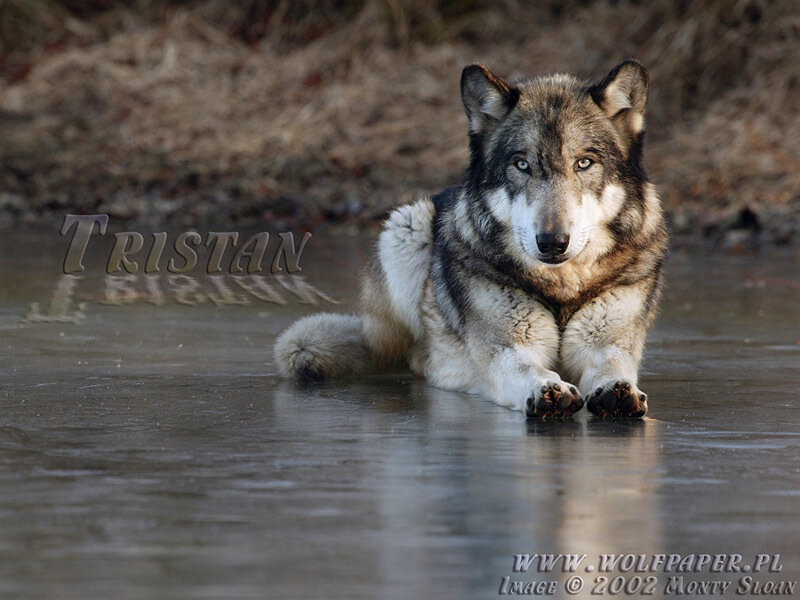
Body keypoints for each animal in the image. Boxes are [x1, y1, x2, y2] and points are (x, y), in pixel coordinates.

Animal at [275, 60, 668, 419]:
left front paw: (616, 390)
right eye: (521, 165)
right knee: (416, 358)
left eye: (584, 163)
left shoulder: (606, 343)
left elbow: (612, 365)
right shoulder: (507, 346)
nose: (553, 242)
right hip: (406, 225)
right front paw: (547, 387)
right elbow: (525, 366)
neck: (561, 290)